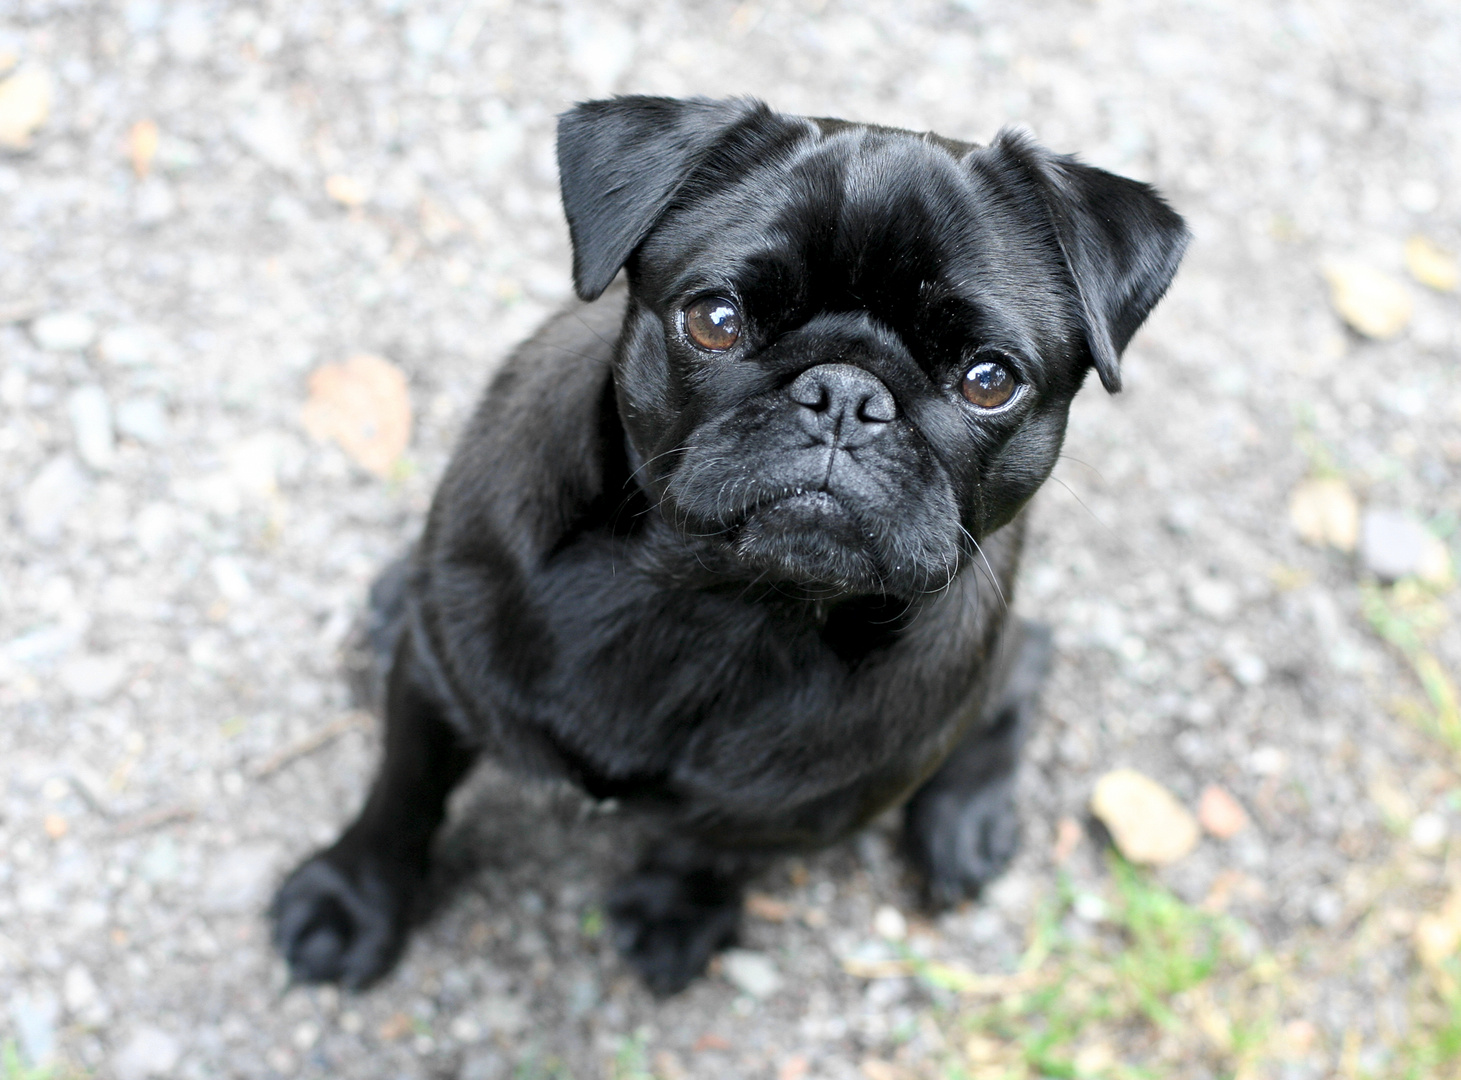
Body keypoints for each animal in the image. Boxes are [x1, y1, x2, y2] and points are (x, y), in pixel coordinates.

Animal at [274, 94, 1186, 999]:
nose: (845, 394)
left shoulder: (793, 812)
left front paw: (678, 911)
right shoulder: (436, 687)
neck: (721, 601)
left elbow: (714, 850)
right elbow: (401, 799)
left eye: (989, 380)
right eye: (714, 321)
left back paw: (965, 817)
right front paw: (352, 902)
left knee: (1026, 660)